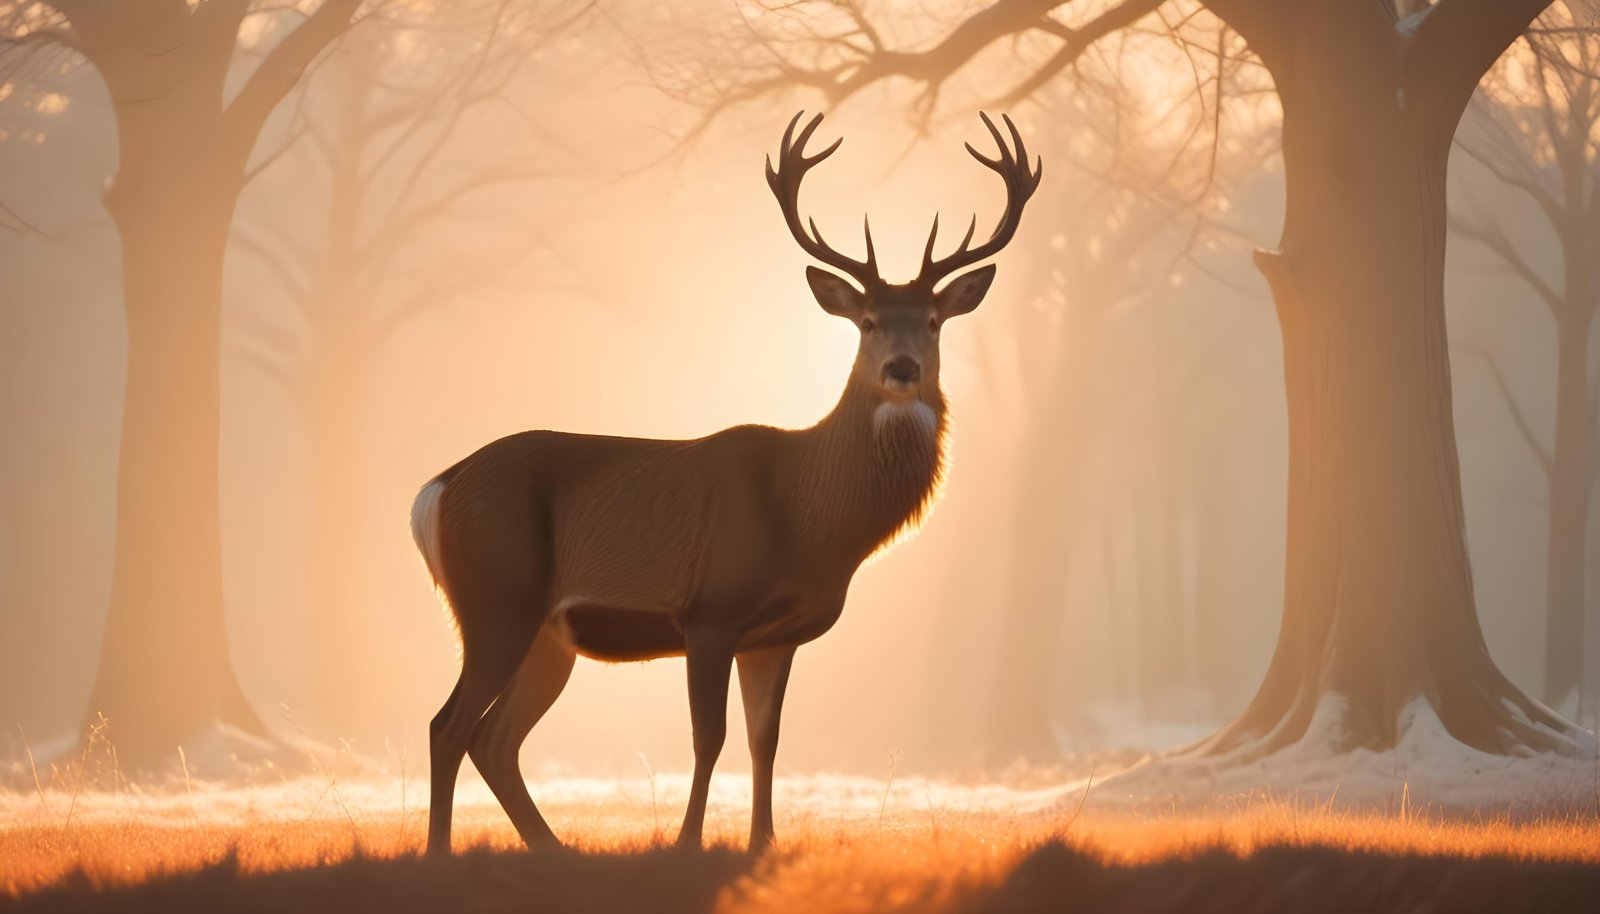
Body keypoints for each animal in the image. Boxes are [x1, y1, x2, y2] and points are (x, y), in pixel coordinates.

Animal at [411, 111, 1040, 856]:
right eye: (868, 322)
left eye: (936, 321)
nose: (904, 368)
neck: (811, 518)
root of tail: (439, 489)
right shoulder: (709, 612)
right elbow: (707, 738)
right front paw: (687, 843)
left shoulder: (774, 635)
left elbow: (765, 739)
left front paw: (762, 842)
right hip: (495, 598)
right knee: (448, 725)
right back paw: (440, 853)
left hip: (547, 633)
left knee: (494, 738)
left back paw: (552, 850)